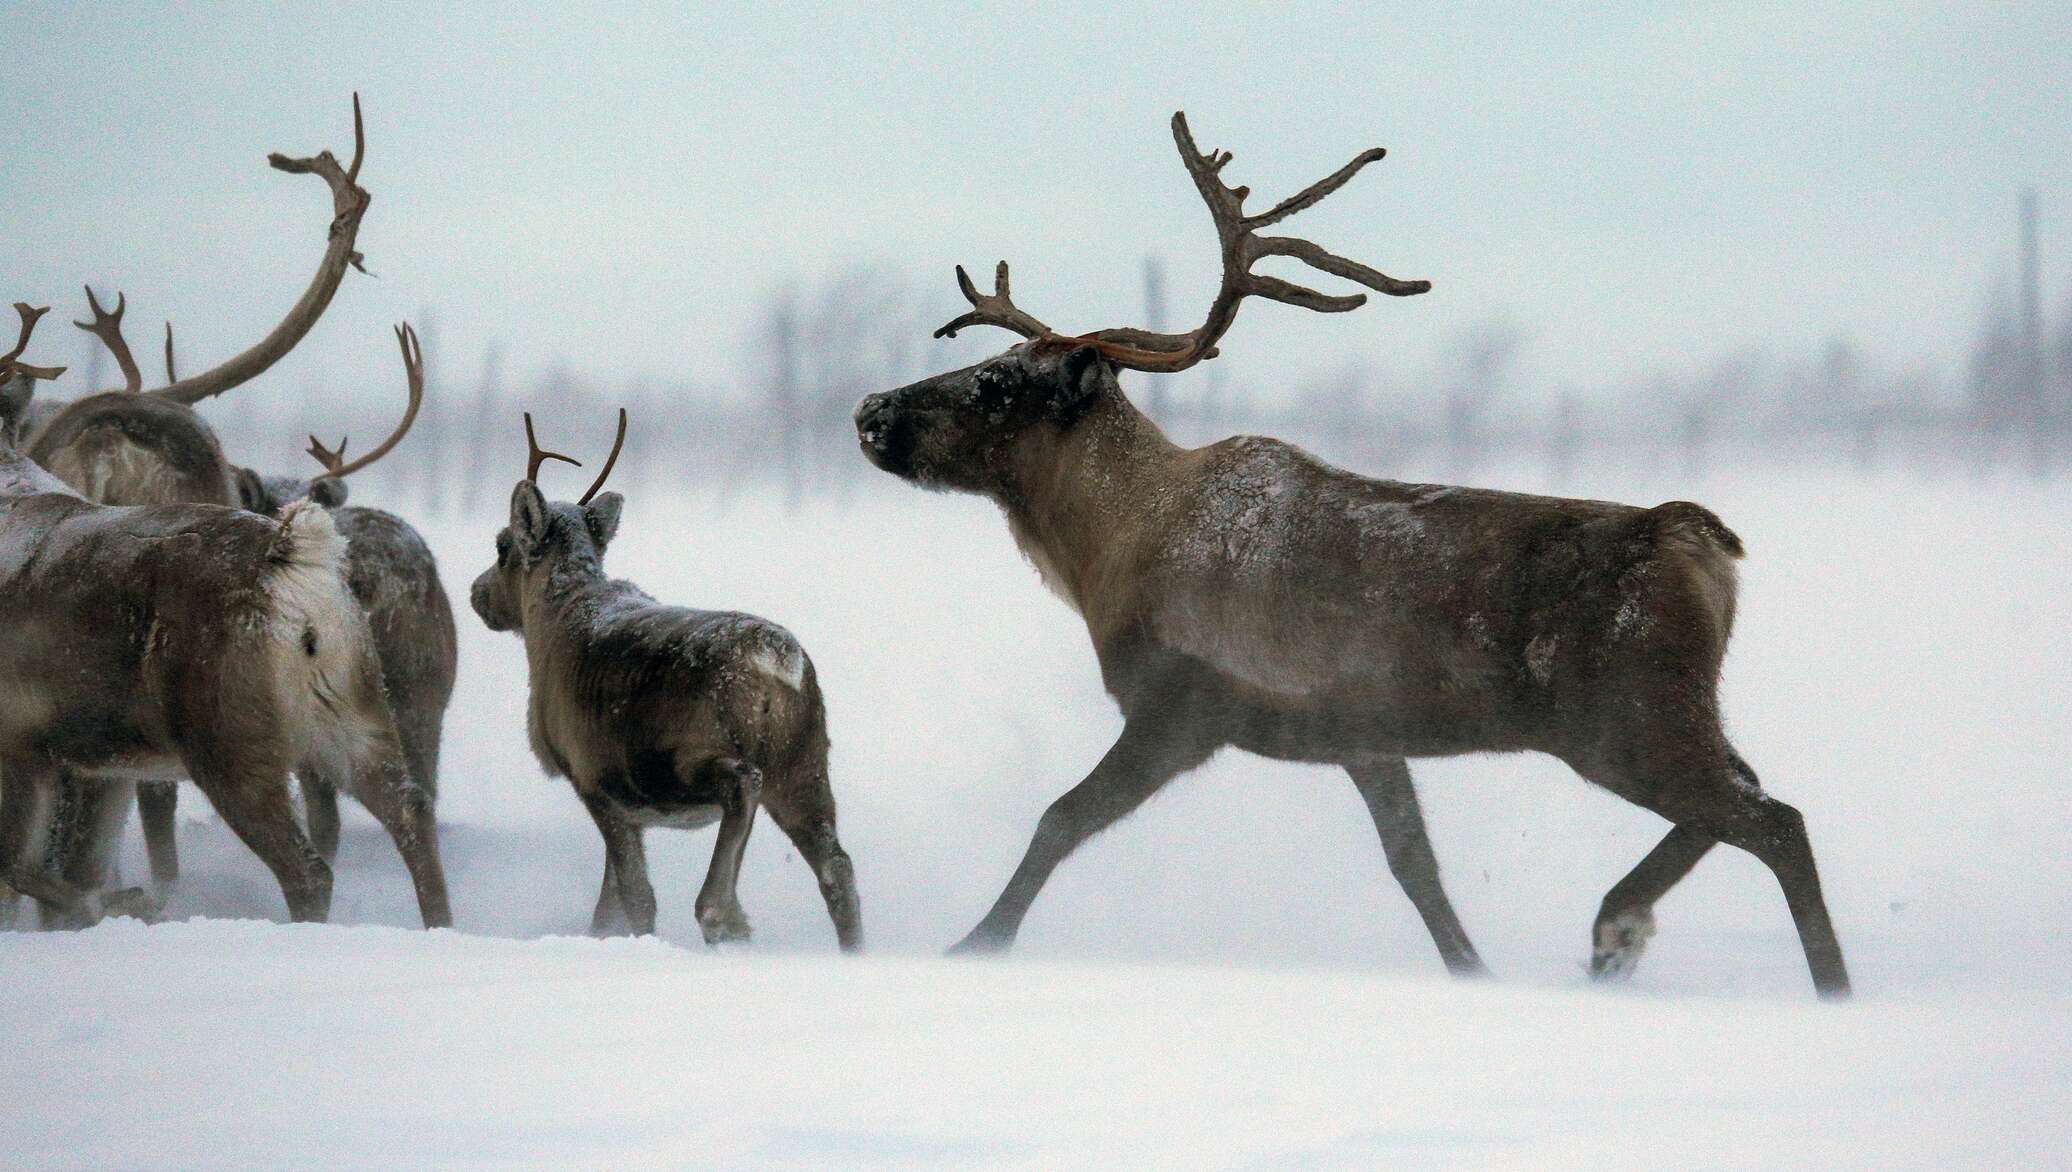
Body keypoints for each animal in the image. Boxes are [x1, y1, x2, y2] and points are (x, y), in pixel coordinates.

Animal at [470, 414, 857, 956]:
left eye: (502, 545)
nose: (476, 593)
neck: (550, 622)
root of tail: (778, 662)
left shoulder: (594, 778)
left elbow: (634, 899)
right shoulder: (627, 808)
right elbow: (607, 907)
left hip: (686, 755)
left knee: (742, 783)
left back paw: (724, 915)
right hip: (806, 760)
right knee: (836, 865)